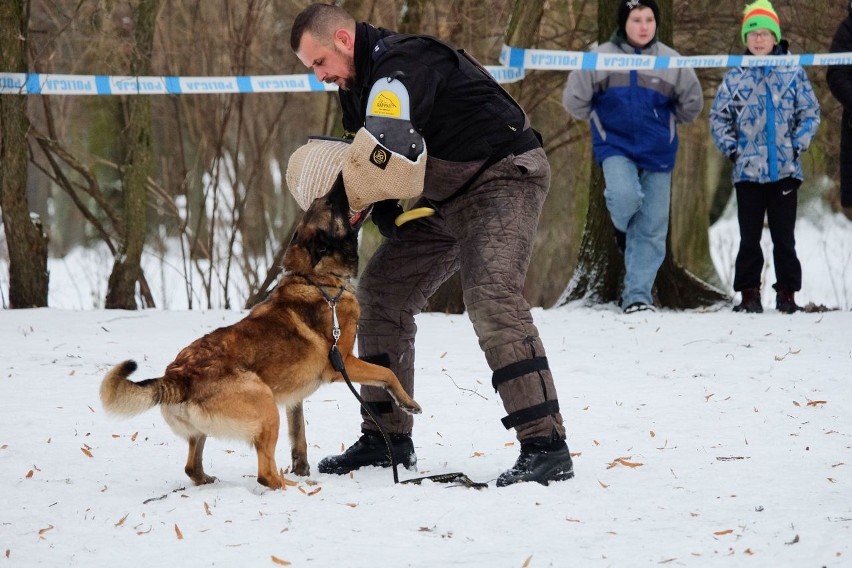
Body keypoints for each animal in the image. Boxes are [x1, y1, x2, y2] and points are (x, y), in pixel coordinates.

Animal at [101, 180, 422, 490]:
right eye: (330, 203)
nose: (343, 180)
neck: (317, 280)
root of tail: (178, 376)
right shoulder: (343, 362)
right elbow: (387, 372)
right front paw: (408, 402)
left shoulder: (294, 402)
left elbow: (300, 440)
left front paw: (302, 469)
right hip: (267, 407)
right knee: (265, 474)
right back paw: (293, 486)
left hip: (208, 430)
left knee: (193, 467)